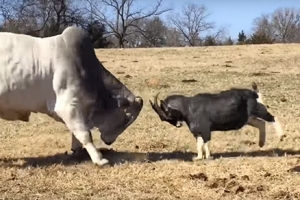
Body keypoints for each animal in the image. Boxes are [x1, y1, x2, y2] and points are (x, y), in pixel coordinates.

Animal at [0, 26, 144, 167]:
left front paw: (77, 151)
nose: (109, 142)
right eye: (126, 119)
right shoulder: (68, 106)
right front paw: (100, 159)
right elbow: (85, 134)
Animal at [150, 83, 284, 161]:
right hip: (249, 118)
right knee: (261, 123)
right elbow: (199, 144)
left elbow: (206, 142)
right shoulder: (198, 132)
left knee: (273, 118)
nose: (178, 125)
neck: (188, 107)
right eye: (164, 118)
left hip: (259, 110)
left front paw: (209, 156)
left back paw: (281, 135)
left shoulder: (205, 130)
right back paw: (261, 143)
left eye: (167, 115)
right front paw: (199, 157)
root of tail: (254, 93)